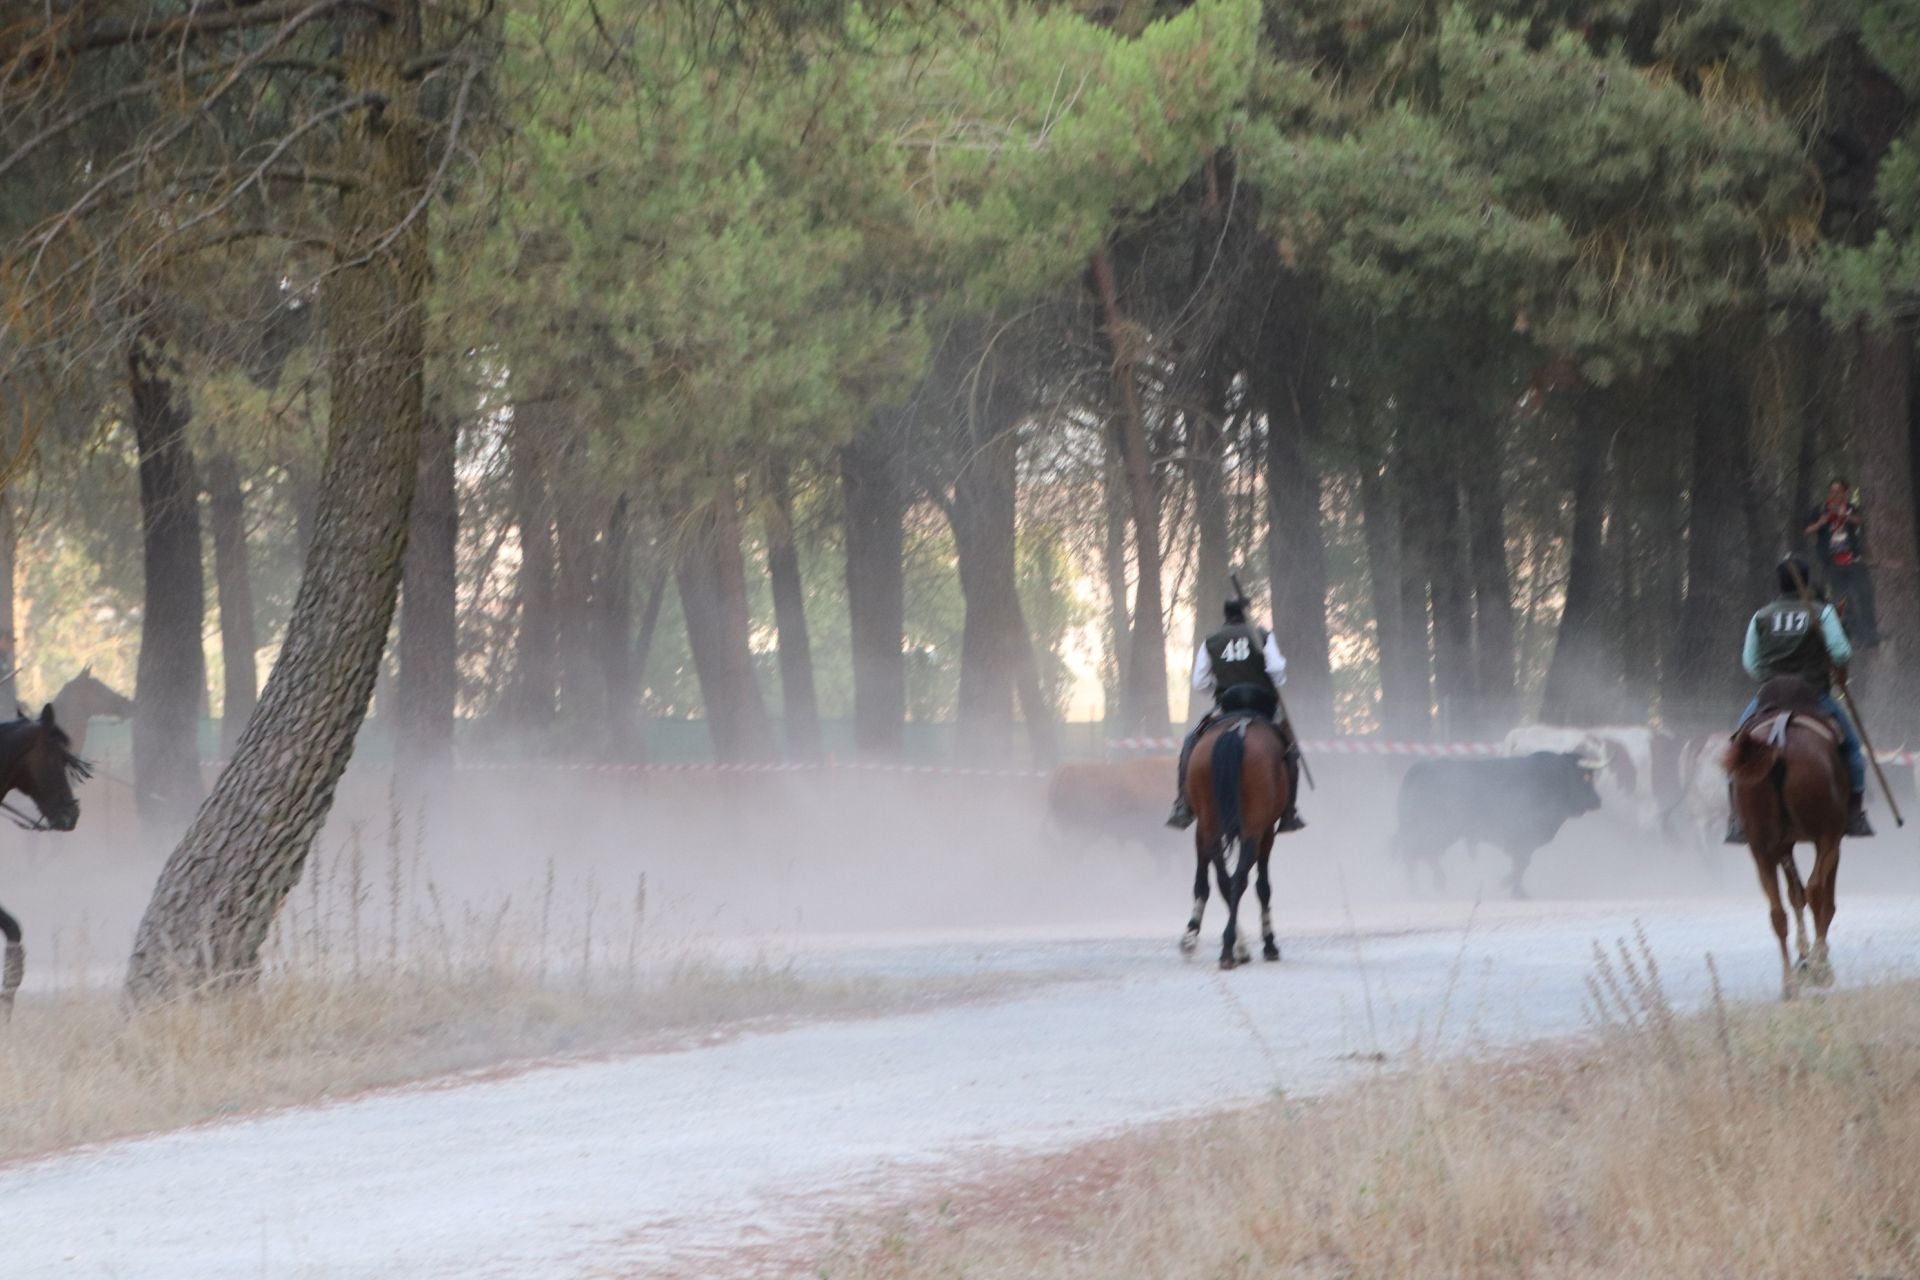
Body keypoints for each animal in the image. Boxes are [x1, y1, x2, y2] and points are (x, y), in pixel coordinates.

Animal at [1167, 710, 1290, 971]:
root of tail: (1236, 731)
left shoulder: (1202, 828)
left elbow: (1203, 881)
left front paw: (1191, 935)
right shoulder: (1266, 832)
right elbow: (1263, 886)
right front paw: (1269, 944)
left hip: (1211, 820)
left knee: (1225, 879)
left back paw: (1229, 947)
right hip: (1253, 828)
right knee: (1240, 877)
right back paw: (1233, 948)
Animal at [1397, 752, 1605, 901]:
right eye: (1585, 777)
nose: (1598, 801)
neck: (1554, 778)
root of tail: (1421, 767)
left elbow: (1521, 865)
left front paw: (1517, 890)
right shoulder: (1523, 840)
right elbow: (1522, 864)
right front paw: (1511, 888)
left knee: (1419, 856)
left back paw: (1421, 888)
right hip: (1438, 830)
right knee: (1418, 854)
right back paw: (1428, 886)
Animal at [1728, 671, 1843, 997]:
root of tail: (1777, 745)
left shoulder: (1783, 845)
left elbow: (1794, 895)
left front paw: (1803, 959)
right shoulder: (1833, 839)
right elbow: (1821, 898)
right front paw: (1816, 963)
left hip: (1760, 846)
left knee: (1777, 911)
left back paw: (1790, 983)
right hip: (1827, 833)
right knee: (1816, 890)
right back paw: (1816, 967)